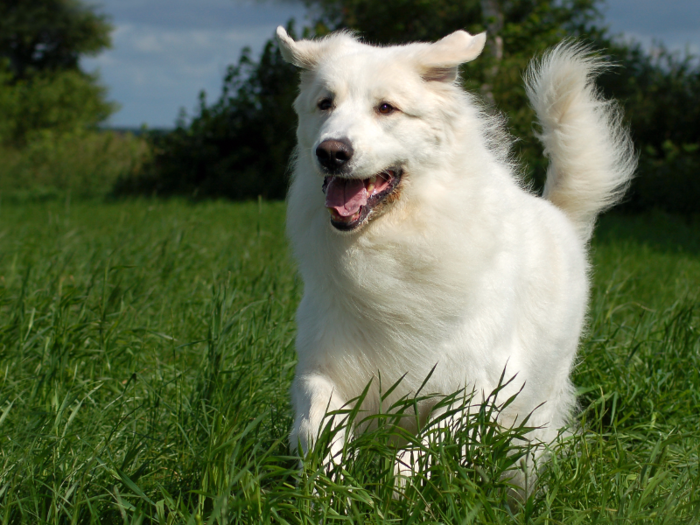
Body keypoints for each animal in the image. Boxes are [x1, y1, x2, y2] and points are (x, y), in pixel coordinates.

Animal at [276, 25, 636, 478]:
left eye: (386, 108)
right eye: (326, 104)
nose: (330, 152)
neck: (394, 246)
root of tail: (559, 216)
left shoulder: (476, 390)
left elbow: (412, 458)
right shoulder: (324, 369)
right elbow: (316, 429)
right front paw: (330, 484)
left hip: (536, 408)